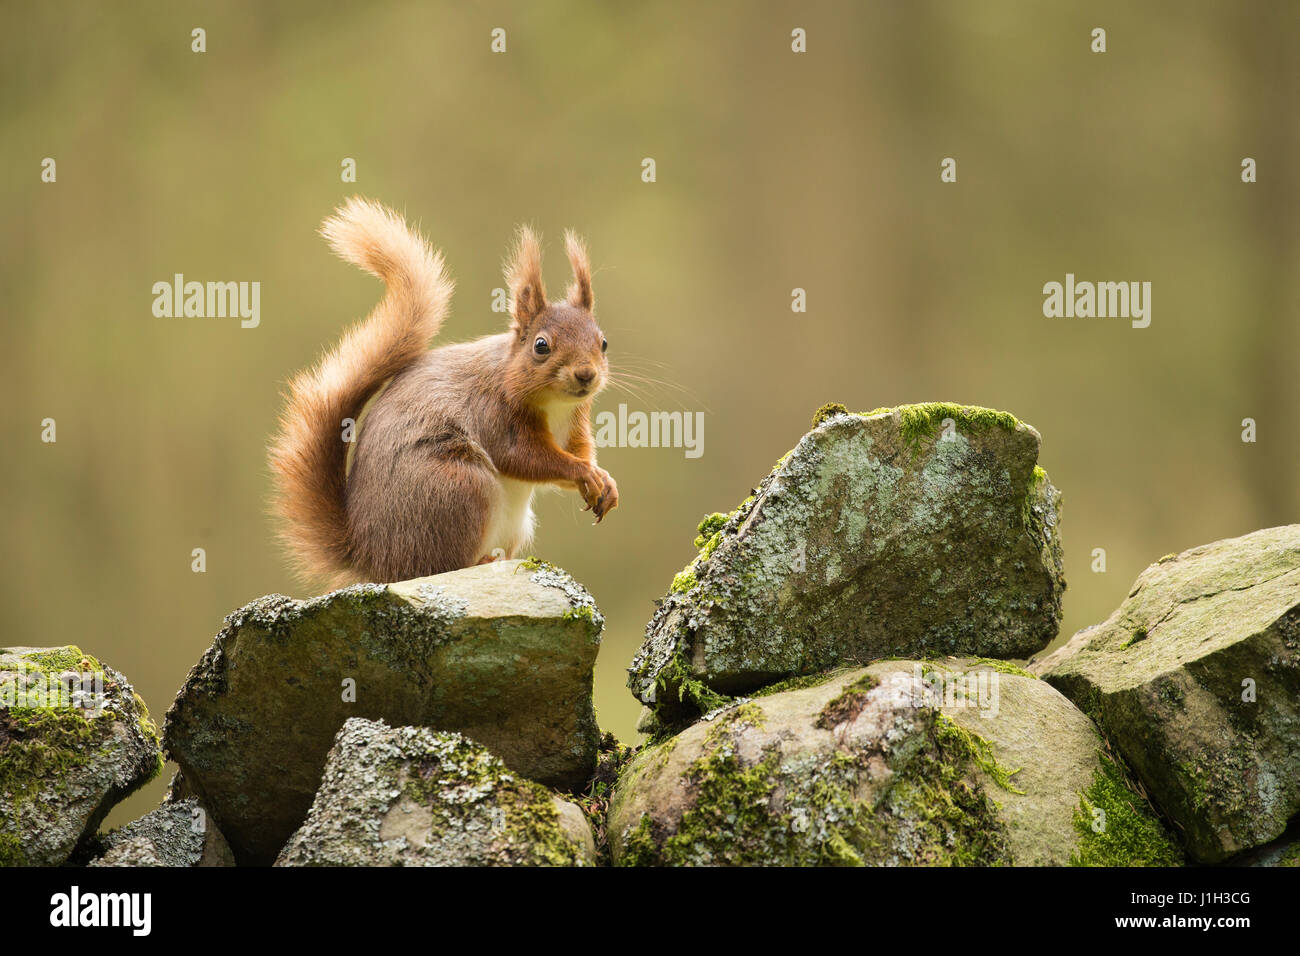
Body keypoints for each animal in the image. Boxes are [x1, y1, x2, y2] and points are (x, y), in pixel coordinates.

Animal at [266, 199, 616, 587]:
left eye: (603, 342)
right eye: (541, 346)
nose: (586, 374)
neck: (556, 405)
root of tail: (372, 560)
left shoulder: (576, 420)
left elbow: (579, 449)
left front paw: (603, 480)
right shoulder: (496, 413)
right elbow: (523, 457)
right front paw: (582, 472)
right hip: (460, 487)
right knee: (441, 565)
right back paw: (479, 561)